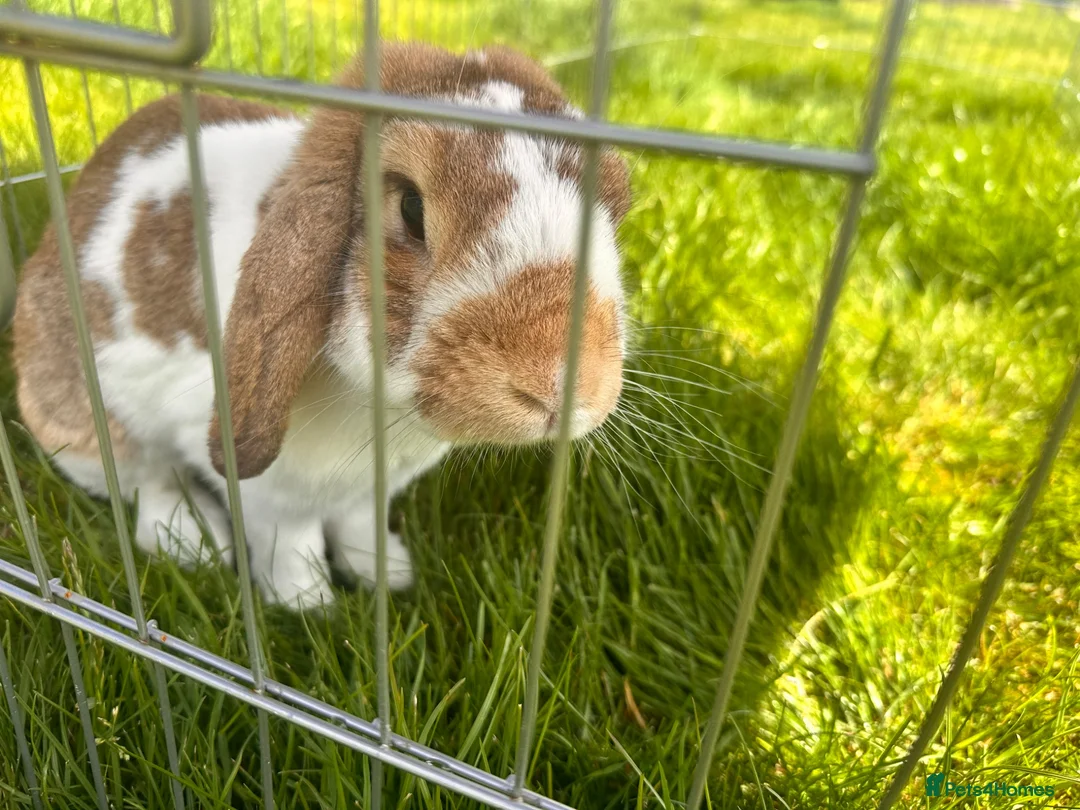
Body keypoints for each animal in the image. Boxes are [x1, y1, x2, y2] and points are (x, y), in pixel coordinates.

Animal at [12, 43, 631, 610]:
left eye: (615, 209)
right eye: (411, 209)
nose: (563, 388)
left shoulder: (366, 494)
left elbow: (358, 527)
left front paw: (387, 575)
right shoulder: (267, 490)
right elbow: (289, 544)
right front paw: (309, 606)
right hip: (89, 430)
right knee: (146, 486)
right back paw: (195, 543)